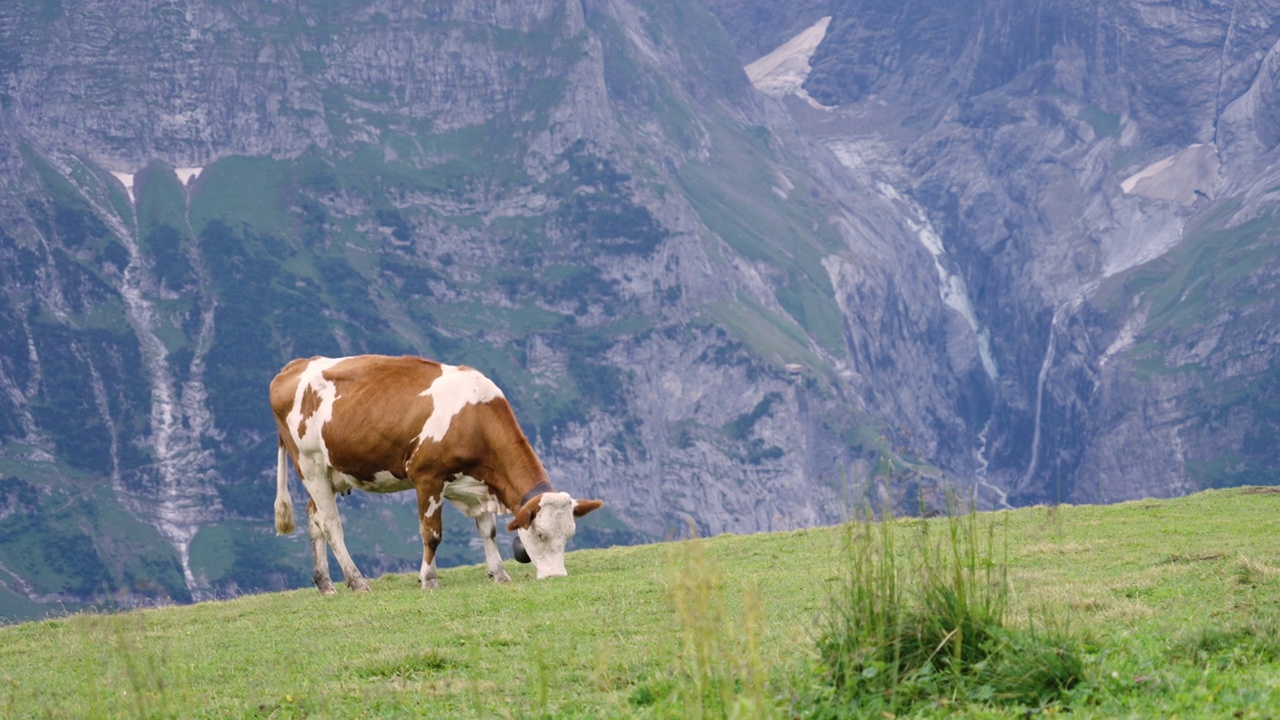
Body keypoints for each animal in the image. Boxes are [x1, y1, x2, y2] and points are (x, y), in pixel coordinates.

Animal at [266, 353, 604, 594]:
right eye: (540, 534)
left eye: (569, 535)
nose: (556, 576)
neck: (475, 419)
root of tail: (295, 365)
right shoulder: (427, 477)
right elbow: (432, 534)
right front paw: (428, 579)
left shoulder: (477, 485)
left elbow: (489, 531)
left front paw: (499, 573)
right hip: (309, 464)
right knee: (331, 524)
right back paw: (357, 581)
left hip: (330, 472)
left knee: (315, 518)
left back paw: (325, 584)